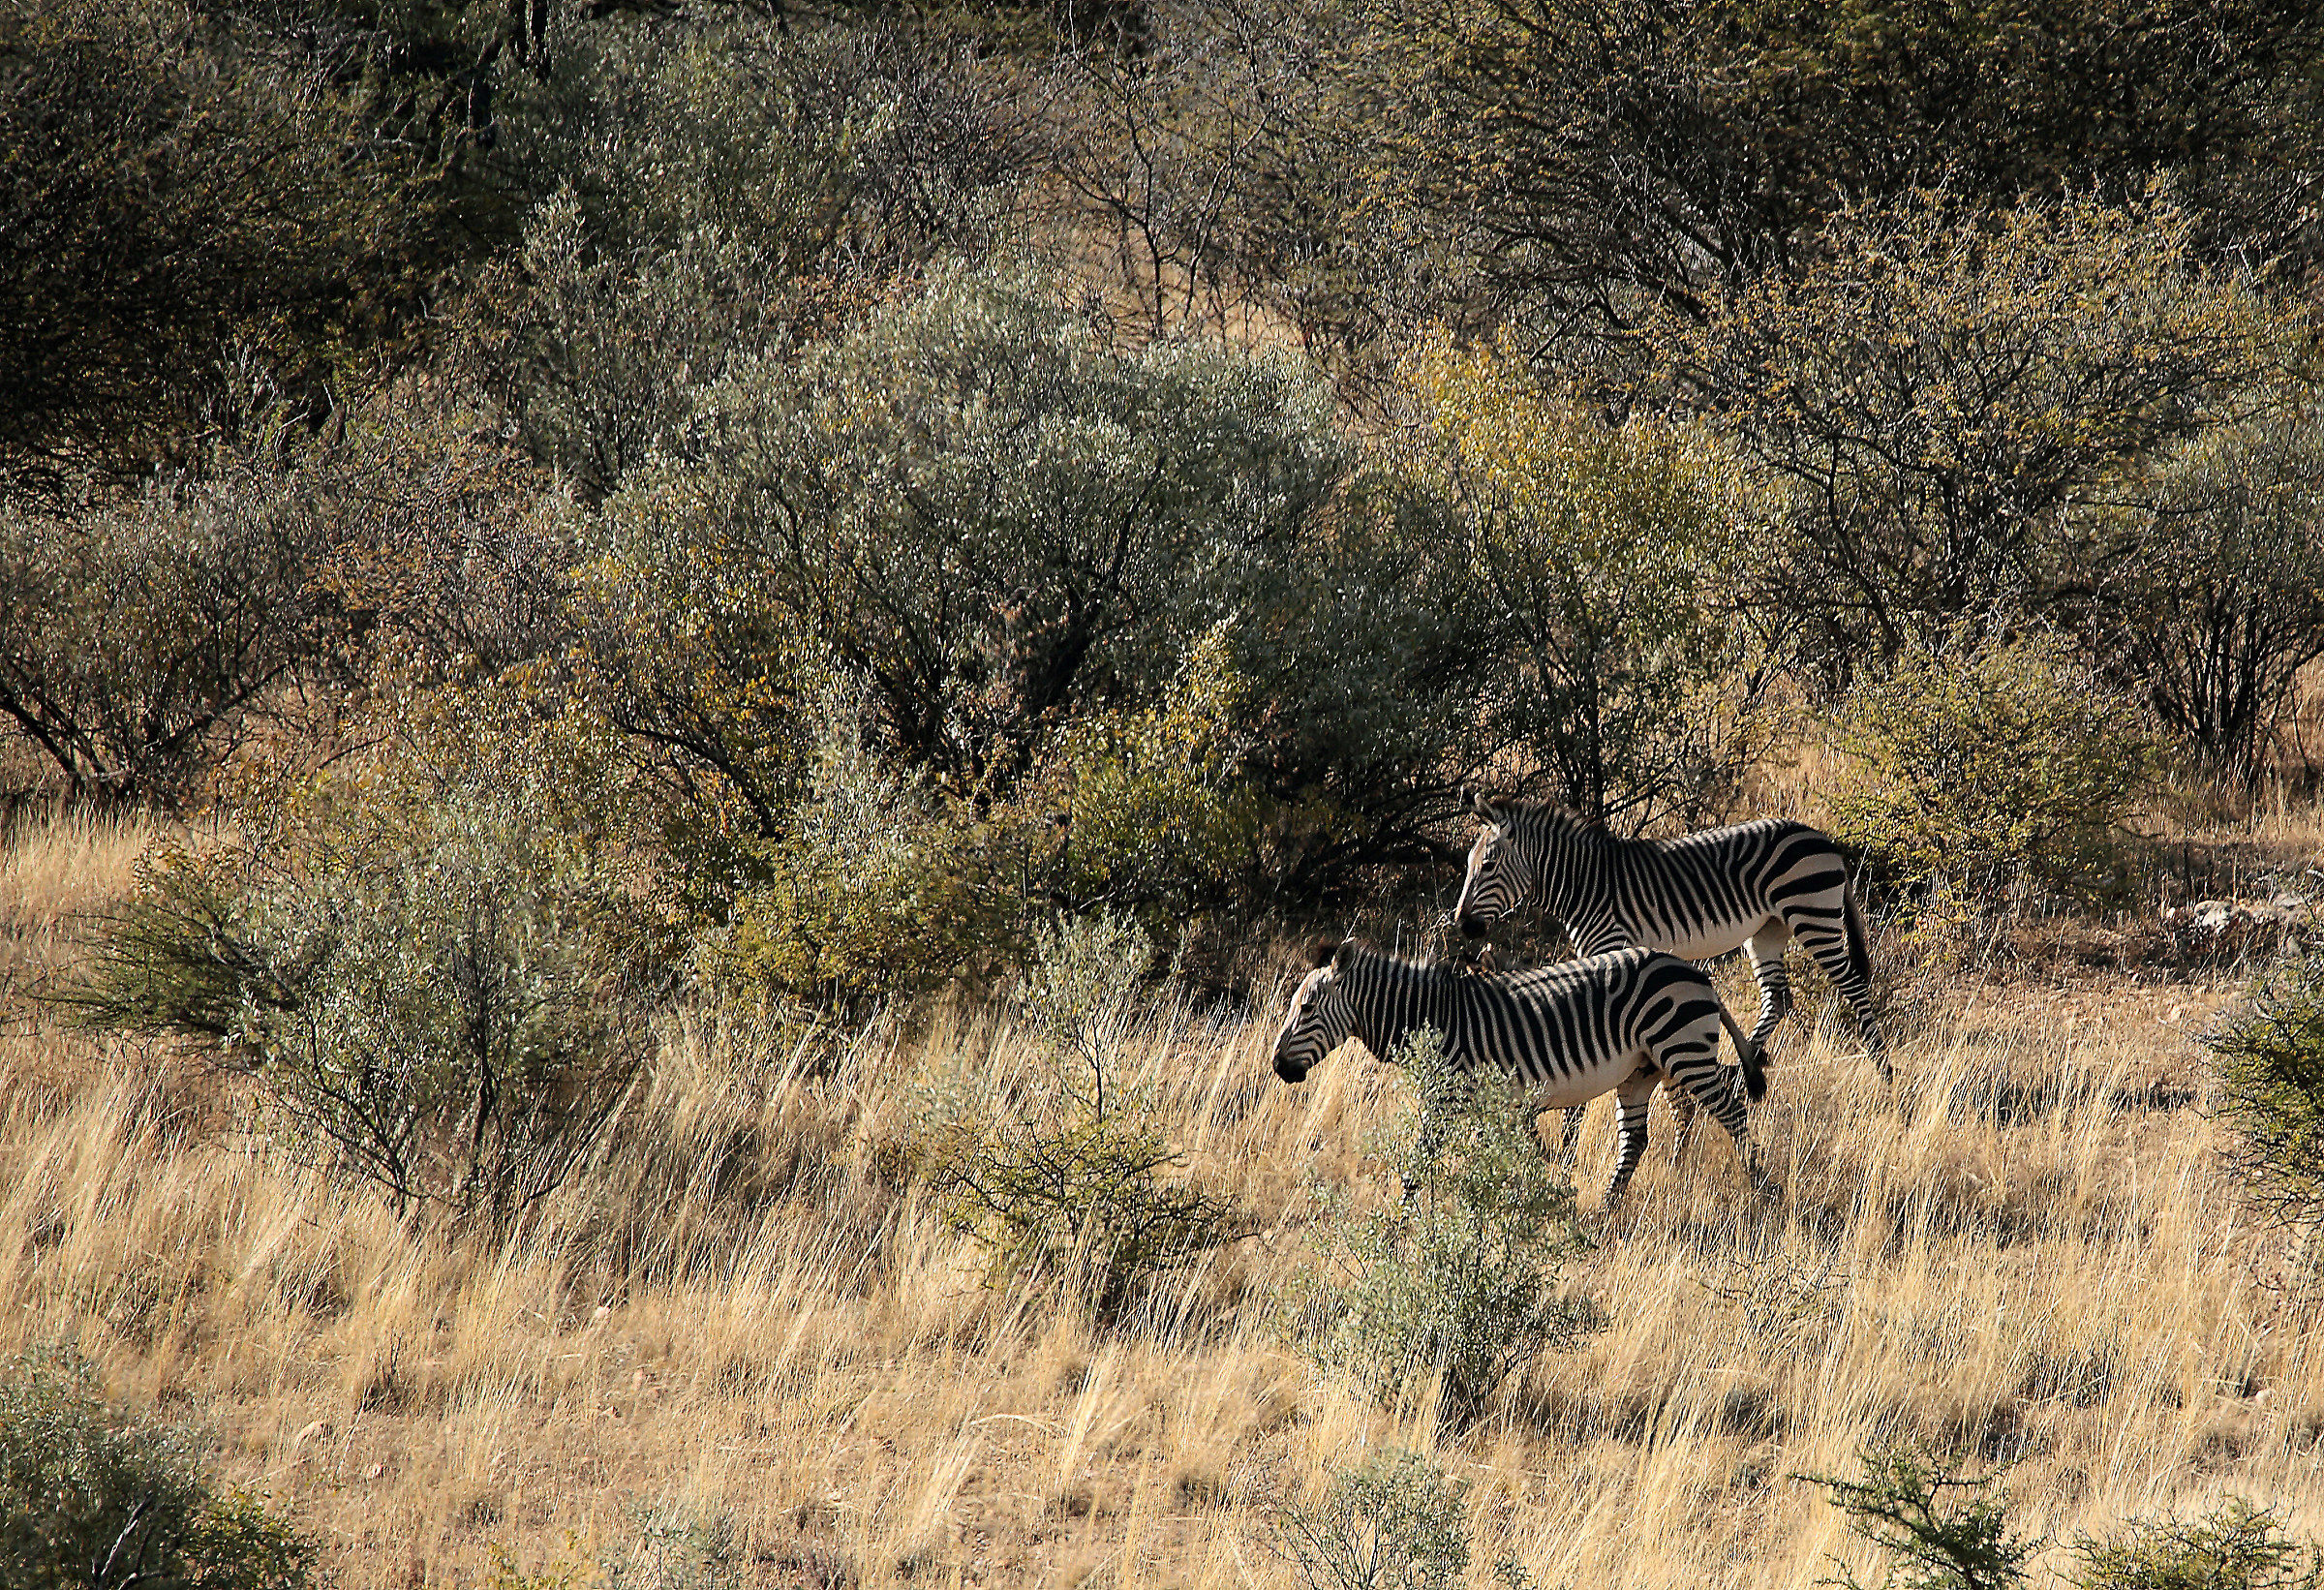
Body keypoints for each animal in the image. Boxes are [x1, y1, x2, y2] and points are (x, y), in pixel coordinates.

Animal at [1270, 938, 1777, 1211]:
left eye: (1306, 1008)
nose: (1276, 1066)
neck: (1431, 1016)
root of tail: (1695, 973)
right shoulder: (1491, 1102)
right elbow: (1514, 1153)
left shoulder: (1448, 1095)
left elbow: (1421, 1157)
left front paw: (1403, 1218)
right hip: (1640, 1071)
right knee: (1635, 1141)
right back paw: (1604, 1211)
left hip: (1683, 1052)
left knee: (1732, 1112)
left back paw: (1763, 1190)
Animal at [1451, 793, 1887, 1153]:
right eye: (1470, 866)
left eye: (1487, 865)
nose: (1461, 925)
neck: (1584, 886)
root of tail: (1823, 839)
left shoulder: (1613, 948)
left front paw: (1571, 1132)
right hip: (1766, 931)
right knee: (1776, 997)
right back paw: (1742, 1069)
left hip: (1812, 915)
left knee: (1852, 984)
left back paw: (1884, 1069)